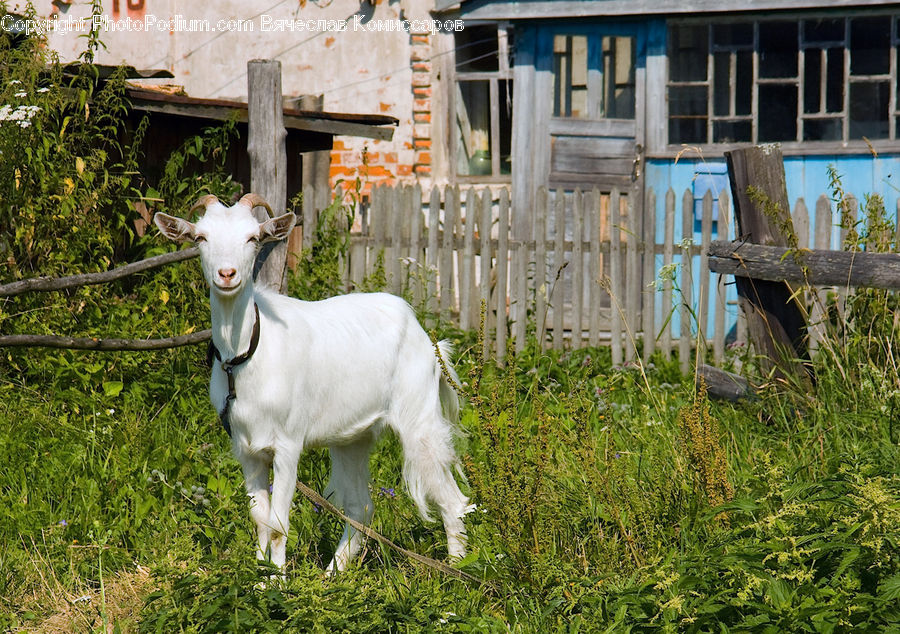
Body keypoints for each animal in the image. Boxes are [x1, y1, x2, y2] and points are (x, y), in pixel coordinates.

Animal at [153, 193, 472, 568]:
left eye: (252, 238)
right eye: (201, 238)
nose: (227, 274)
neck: (246, 354)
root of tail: (427, 338)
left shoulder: (288, 443)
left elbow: (278, 524)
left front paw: (277, 579)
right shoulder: (245, 448)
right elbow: (259, 520)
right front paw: (259, 575)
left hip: (419, 419)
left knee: (452, 500)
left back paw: (456, 569)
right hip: (353, 437)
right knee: (361, 507)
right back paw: (333, 573)